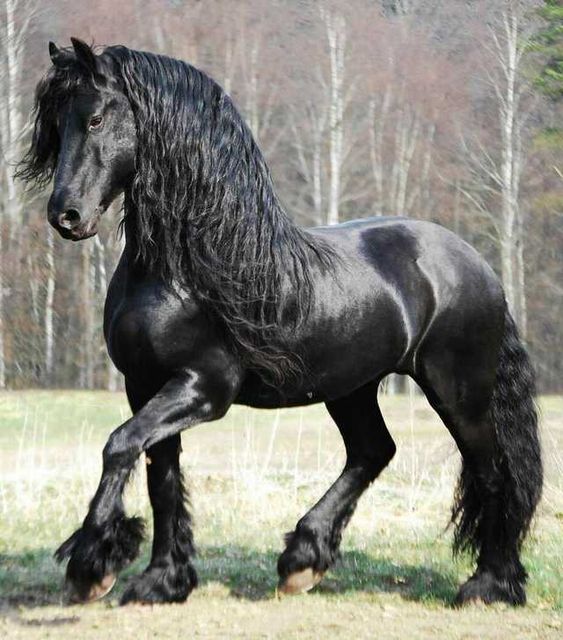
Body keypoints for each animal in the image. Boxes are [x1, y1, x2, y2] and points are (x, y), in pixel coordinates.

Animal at [18, 38, 542, 607]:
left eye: (94, 119)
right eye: (55, 125)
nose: (65, 216)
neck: (188, 269)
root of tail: (477, 264)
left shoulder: (203, 389)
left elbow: (118, 446)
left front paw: (91, 564)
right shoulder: (144, 386)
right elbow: (161, 477)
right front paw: (162, 580)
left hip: (458, 392)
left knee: (492, 474)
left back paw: (489, 583)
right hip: (352, 387)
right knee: (373, 451)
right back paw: (303, 560)